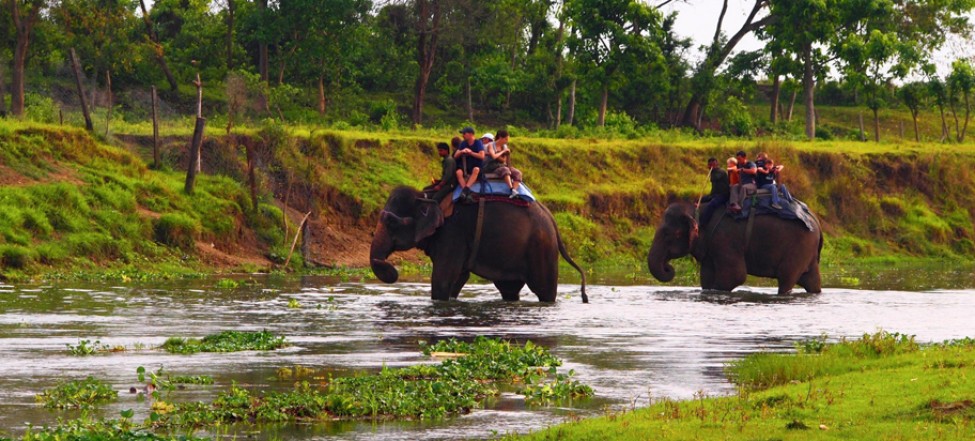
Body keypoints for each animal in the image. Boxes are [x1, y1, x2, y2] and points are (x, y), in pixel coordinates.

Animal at [372, 186, 588, 302]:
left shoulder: (452, 233)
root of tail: (552, 219)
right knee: (509, 289)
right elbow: (458, 277)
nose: (393, 271)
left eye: (391, 221)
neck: (428, 196)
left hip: (542, 247)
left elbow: (442, 278)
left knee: (544, 290)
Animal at [648, 202, 824, 292]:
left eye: (668, 234)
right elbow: (707, 276)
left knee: (786, 277)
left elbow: (735, 276)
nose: (668, 268)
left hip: (800, 248)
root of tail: (816, 221)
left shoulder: (726, 239)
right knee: (811, 281)